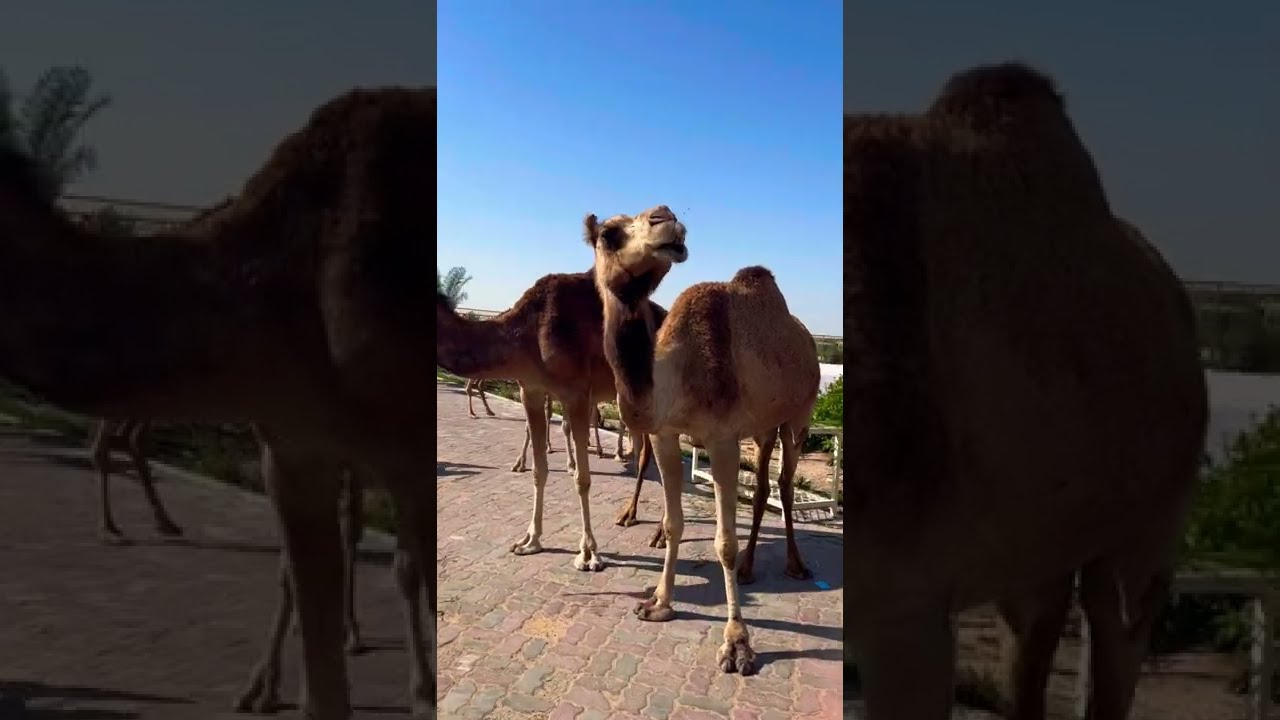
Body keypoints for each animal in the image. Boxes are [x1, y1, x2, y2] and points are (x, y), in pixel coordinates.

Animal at [437, 270, 665, 572]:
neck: (525, 332)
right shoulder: (530, 389)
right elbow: (539, 470)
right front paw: (529, 541)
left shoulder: (576, 393)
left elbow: (582, 478)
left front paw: (589, 554)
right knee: (645, 453)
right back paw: (629, 515)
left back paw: (660, 534)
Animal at [583, 204, 821, 677]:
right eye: (608, 234)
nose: (665, 218)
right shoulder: (664, 434)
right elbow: (674, 522)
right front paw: (658, 602)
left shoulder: (723, 438)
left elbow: (723, 543)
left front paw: (738, 644)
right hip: (763, 426)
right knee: (762, 484)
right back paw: (749, 568)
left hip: (799, 415)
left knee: (784, 484)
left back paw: (795, 564)